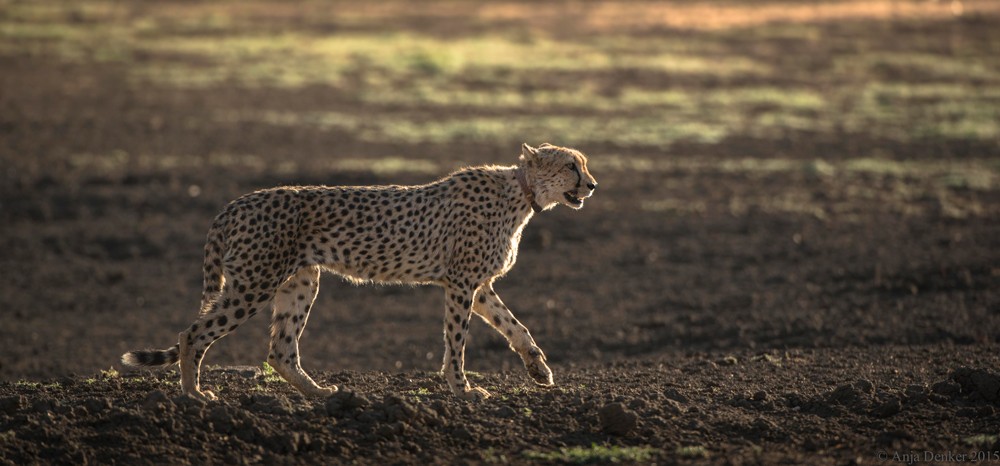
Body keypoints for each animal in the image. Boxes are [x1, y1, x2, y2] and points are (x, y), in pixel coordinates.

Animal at [122, 142, 596, 400]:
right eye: (570, 165)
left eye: (584, 164)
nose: (592, 185)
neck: (522, 193)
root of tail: (236, 202)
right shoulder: (461, 282)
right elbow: (457, 341)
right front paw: (461, 389)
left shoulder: (477, 286)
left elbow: (515, 326)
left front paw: (539, 370)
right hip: (254, 283)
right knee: (193, 332)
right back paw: (194, 396)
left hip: (300, 282)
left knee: (279, 349)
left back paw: (319, 394)